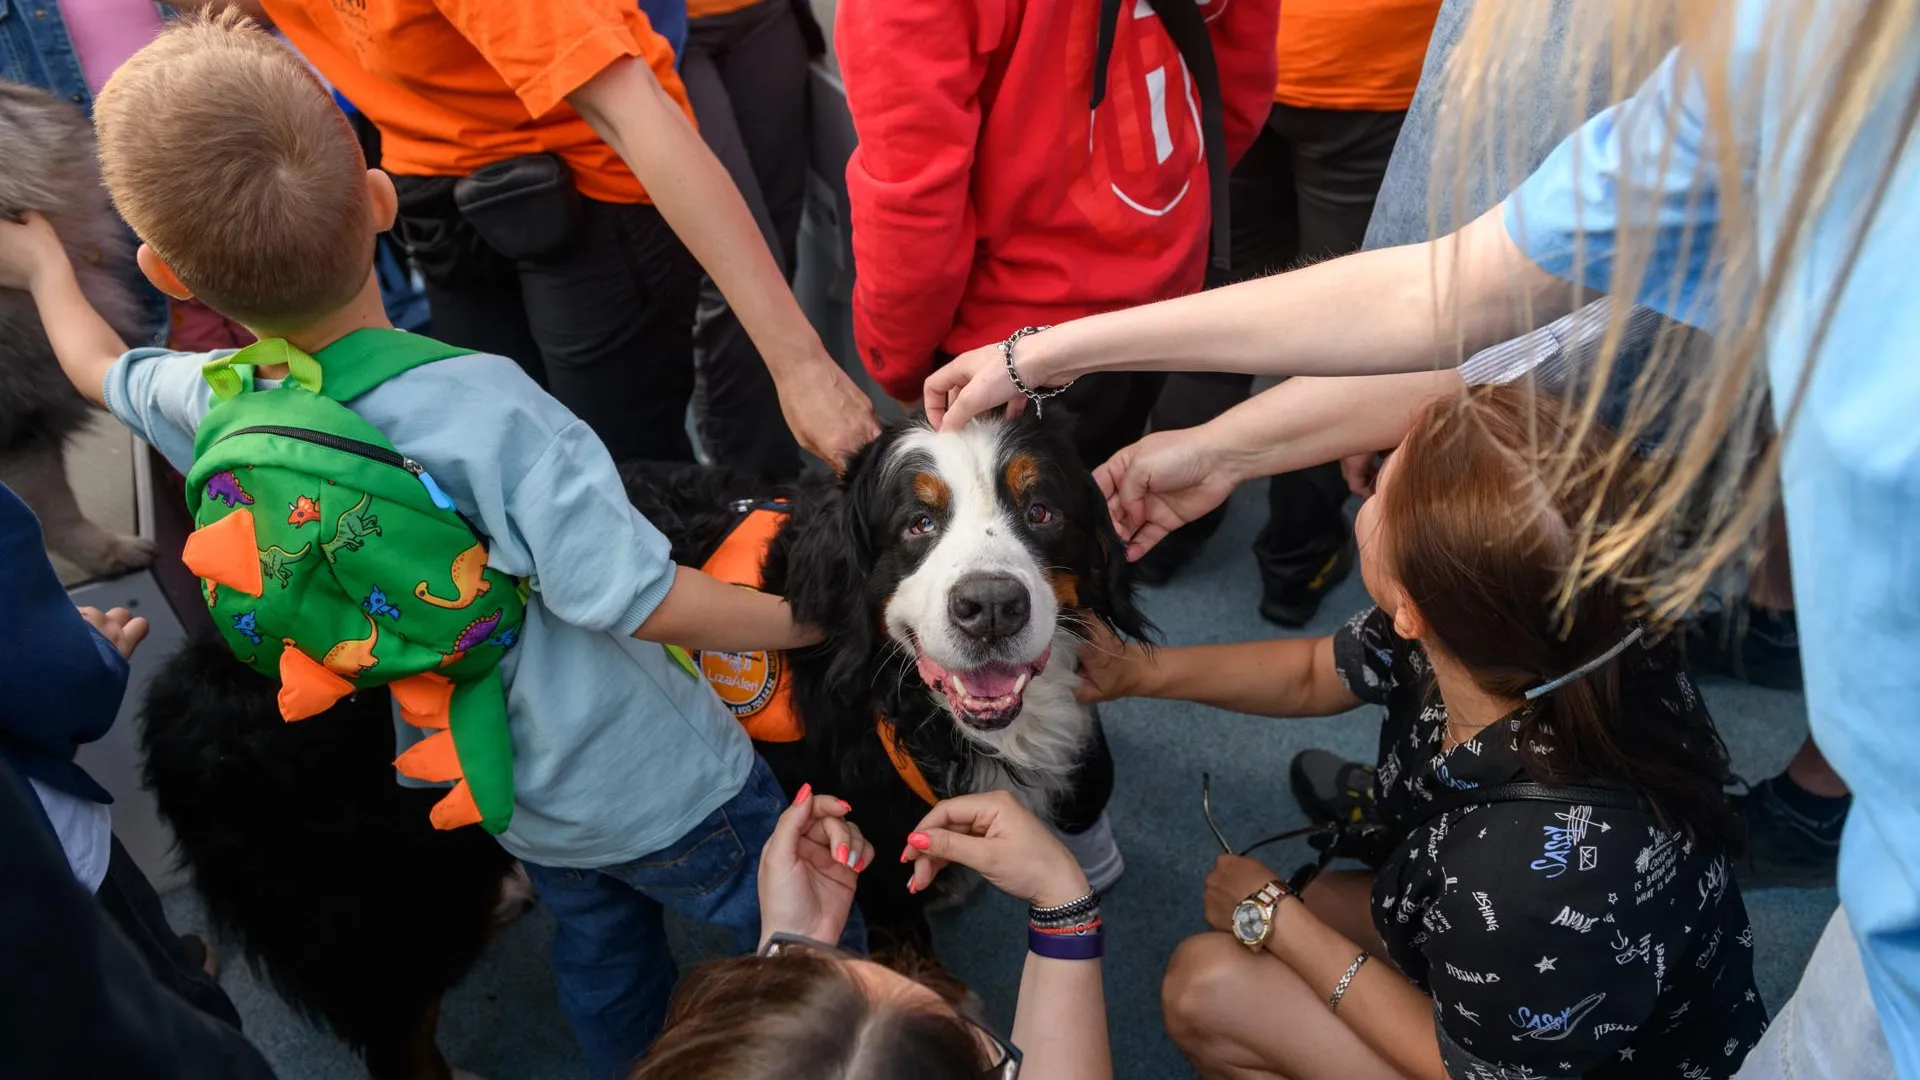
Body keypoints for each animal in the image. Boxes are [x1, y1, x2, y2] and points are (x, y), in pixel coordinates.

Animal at [145, 407, 1152, 1068]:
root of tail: (199, 675)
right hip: (390, 904)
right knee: (400, 1030)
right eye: (916, 523)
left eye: (1043, 512)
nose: (991, 607)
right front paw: (933, 987)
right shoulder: (851, 811)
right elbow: (900, 931)